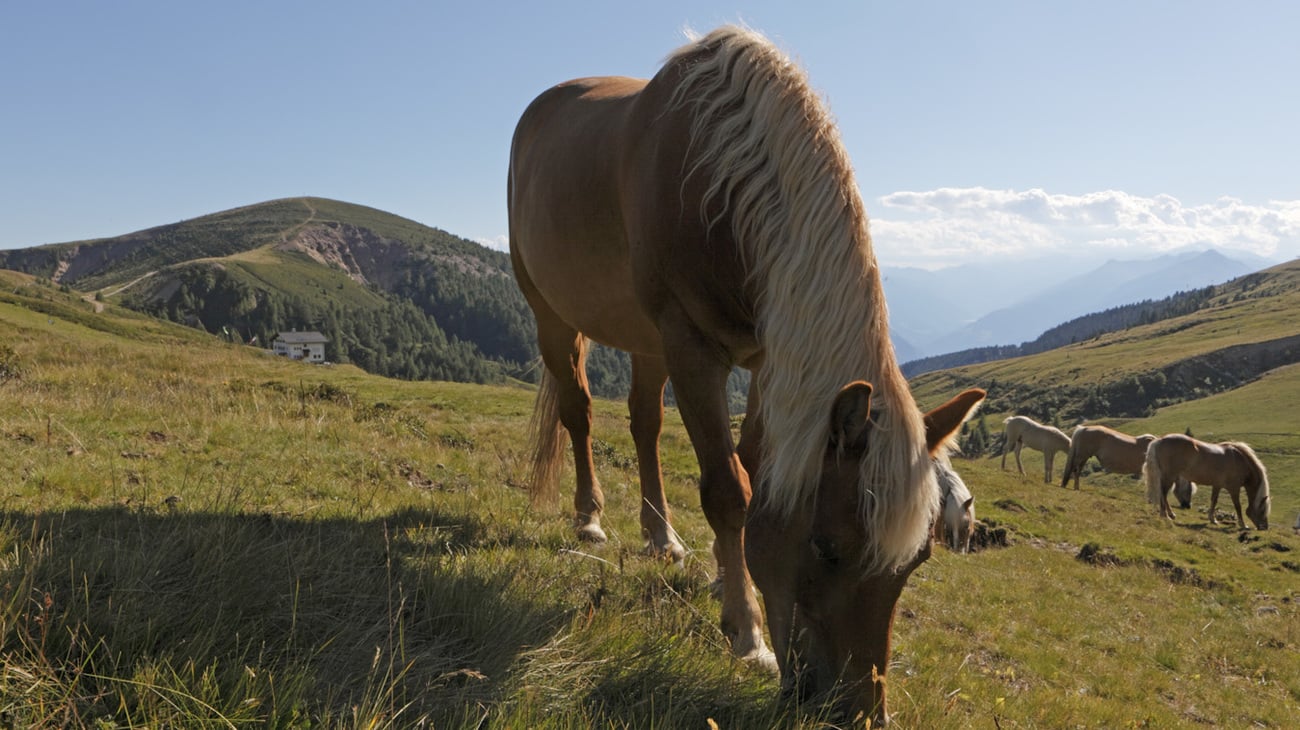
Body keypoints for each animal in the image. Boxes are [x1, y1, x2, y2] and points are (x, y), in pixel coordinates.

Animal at [508, 25, 986, 724]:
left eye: (917, 559)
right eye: (827, 548)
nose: (856, 714)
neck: (718, 177)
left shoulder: (766, 357)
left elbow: (755, 467)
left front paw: (722, 575)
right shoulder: (693, 346)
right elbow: (729, 491)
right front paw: (746, 631)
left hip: (648, 342)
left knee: (645, 426)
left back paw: (660, 536)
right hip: (556, 318)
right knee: (580, 414)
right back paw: (589, 519)